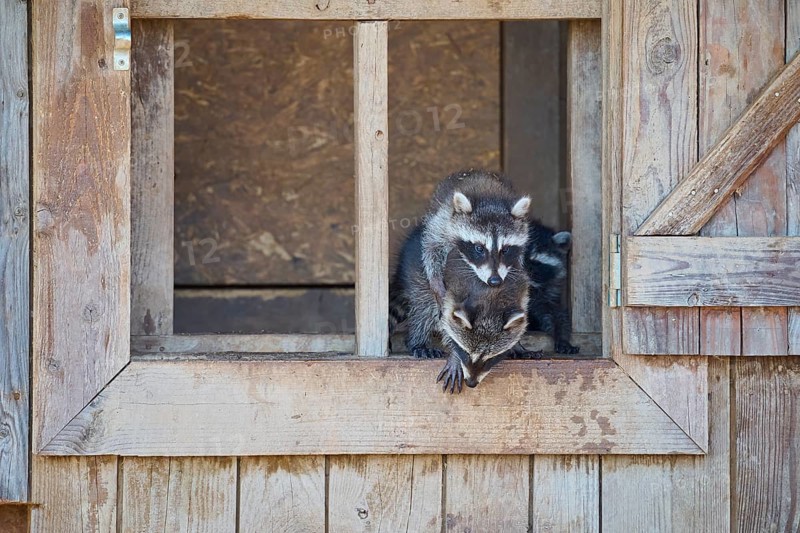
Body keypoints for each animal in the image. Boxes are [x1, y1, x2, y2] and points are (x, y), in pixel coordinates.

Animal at [421, 169, 531, 301]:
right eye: (479, 248)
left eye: (505, 249)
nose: (495, 281)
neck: (490, 198)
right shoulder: (443, 220)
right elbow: (432, 245)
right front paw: (436, 279)